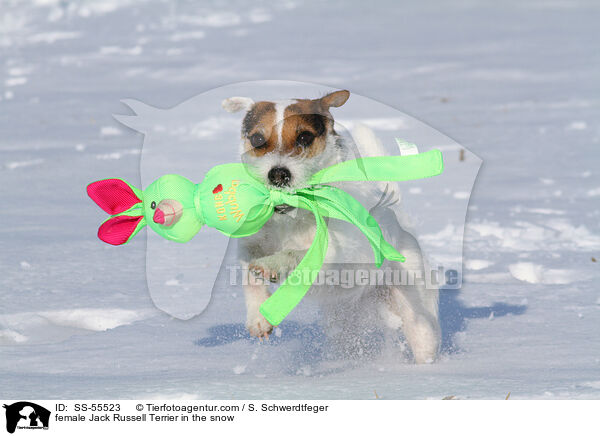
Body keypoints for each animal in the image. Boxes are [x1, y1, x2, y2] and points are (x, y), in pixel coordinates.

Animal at [221, 90, 440, 362]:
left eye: (304, 136)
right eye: (258, 139)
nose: (278, 174)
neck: (291, 217)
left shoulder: (336, 252)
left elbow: (296, 253)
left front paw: (272, 264)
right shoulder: (250, 245)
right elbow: (248, 275)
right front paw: (258, 318)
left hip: (415, 310)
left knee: (423, 340)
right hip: (342, 322)